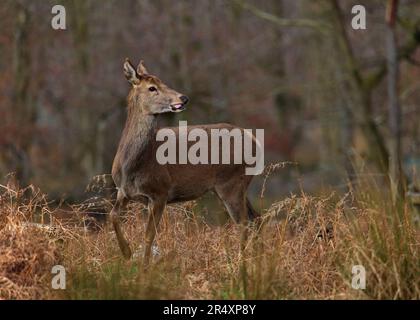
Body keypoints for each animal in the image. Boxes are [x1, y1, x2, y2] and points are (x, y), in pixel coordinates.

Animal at [108, 58, 260, 264]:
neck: (132, 166)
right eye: (152, 88)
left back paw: (241, 262)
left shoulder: (160, 191)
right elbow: (113, 215)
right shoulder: (123, 191)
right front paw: (126, 252)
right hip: (237, 185)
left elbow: (149, 235)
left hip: (231, 183)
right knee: (256, 218)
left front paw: (143, 265)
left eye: (163, 82)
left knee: (244, 223)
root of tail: (256, 142)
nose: (183, 98)